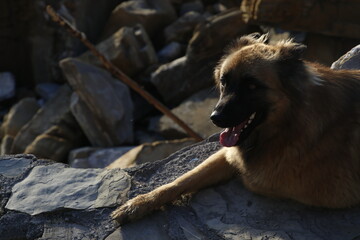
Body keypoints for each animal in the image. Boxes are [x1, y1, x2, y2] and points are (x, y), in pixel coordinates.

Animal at [112, 33, 360, 223]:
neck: (287, 124)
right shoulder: (229, 154)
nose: (215, 118)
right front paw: (139, 204)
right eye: (224, 82)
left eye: (251, 86)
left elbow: (253, 180)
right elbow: (182, 179)